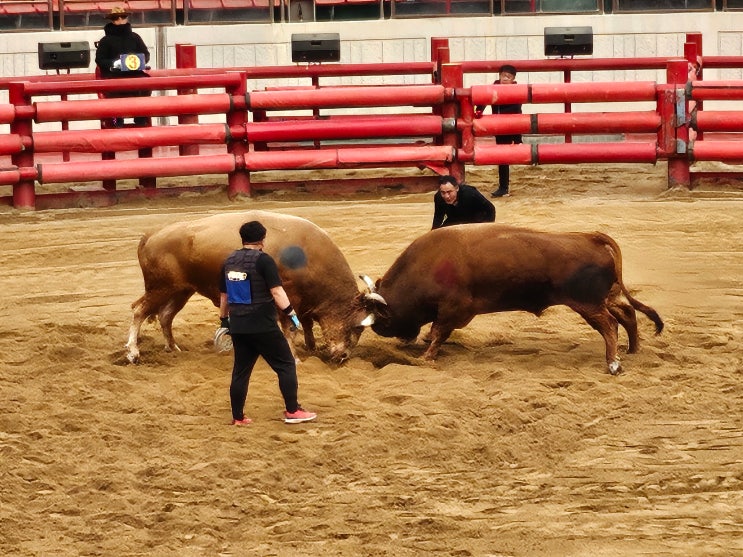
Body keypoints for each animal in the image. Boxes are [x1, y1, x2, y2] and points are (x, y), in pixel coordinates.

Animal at [129, 211, 372, 362]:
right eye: (358, 327)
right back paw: (133, 353)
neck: (308, 255)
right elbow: (291, 328)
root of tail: (151, 234)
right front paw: (294, 357)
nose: (344, 357)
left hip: (180, 290)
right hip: (160, 288)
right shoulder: (286, 296)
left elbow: (306, 324)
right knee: (139, 311)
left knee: (165, 316)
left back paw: (173, 347)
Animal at [364, 223, 664, 374]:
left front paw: (426, 356)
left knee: (610, 325)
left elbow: (438, 332)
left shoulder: (454, 310)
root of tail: (590, 237)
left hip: (588, 304)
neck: (427, 266)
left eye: (382, 317)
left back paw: (613, 363)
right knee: (627, 314)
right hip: (605, 297)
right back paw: (633, 350)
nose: (380, 330)